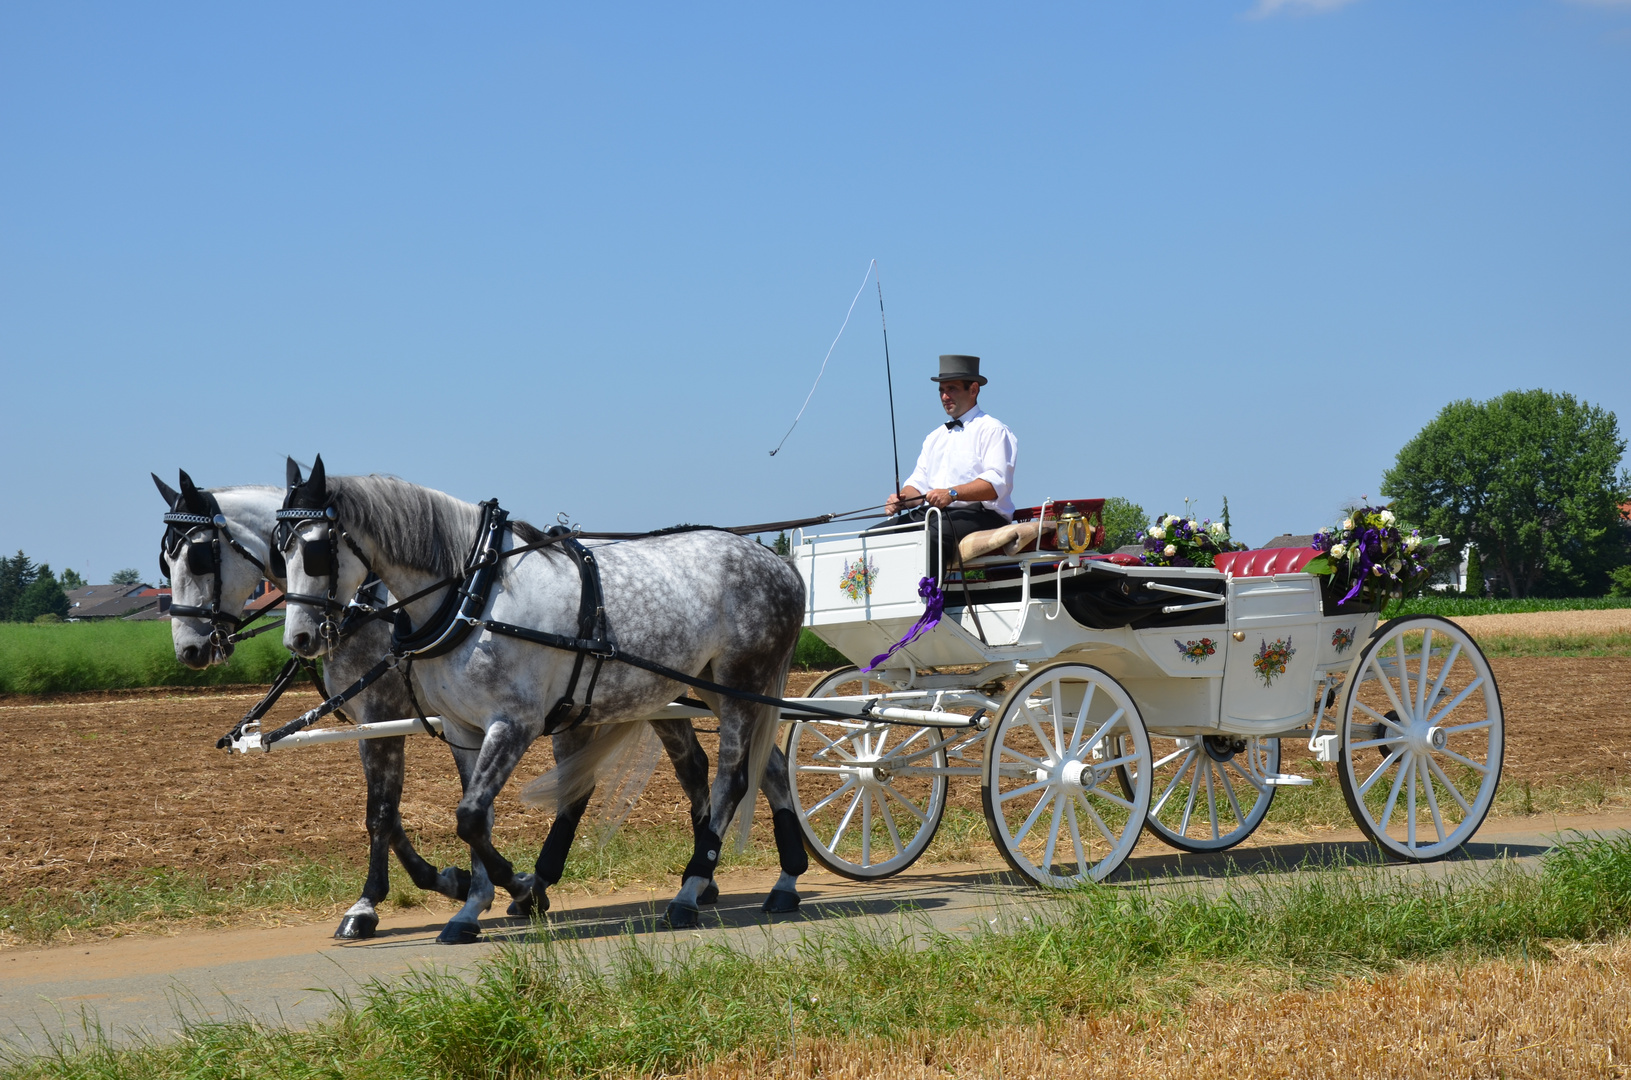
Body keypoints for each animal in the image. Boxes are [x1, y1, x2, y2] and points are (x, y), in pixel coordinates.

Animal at [159, 469, 720, 946]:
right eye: (165, 560)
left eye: (199, 557)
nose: (189, 650)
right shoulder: (384, 722)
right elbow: (392, 813)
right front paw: (461, 883)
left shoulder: (384, 712)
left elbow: (382, 814)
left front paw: (381, 900)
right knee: (615, 780)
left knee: (693, 767)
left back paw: (693, 879)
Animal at [282, 460, 815, 946]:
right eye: (281, 545)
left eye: (316, 550)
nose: (300, 639)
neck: (476, 594)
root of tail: (778, 563)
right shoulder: (462, 730)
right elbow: (473, 816)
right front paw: (472, 907)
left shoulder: (513, 723)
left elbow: (468, 815)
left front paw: (517, 886)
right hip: (714, 687)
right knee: (769, 765)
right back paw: (786, 880)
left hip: (741, 680)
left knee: (732, 778)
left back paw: (690, 891)